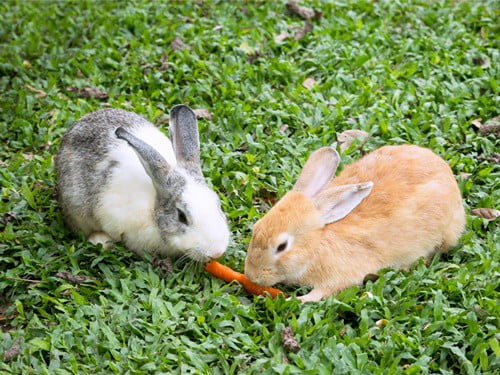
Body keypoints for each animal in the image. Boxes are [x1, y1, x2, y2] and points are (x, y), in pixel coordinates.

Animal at [243, 145, 464, 304]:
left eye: (282, 246)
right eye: (256, 229)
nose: (252, 276)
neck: (316, 243)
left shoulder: (338, 277)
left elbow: (323, 291)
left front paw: (299, 300)